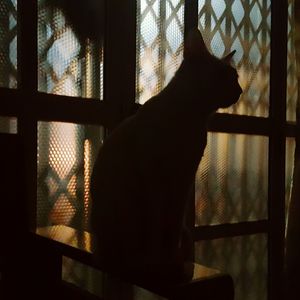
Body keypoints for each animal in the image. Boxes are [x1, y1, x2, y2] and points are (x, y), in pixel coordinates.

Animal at [89, 28, 241, 284]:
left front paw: (172, 263)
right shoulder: (155, 179)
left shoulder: (184, 179)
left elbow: (172, 227)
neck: (191, 119)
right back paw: (138, 262)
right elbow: (158, 225)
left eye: (236, 77)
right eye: (226, 75)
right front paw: (158, 264)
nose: (240, 91)